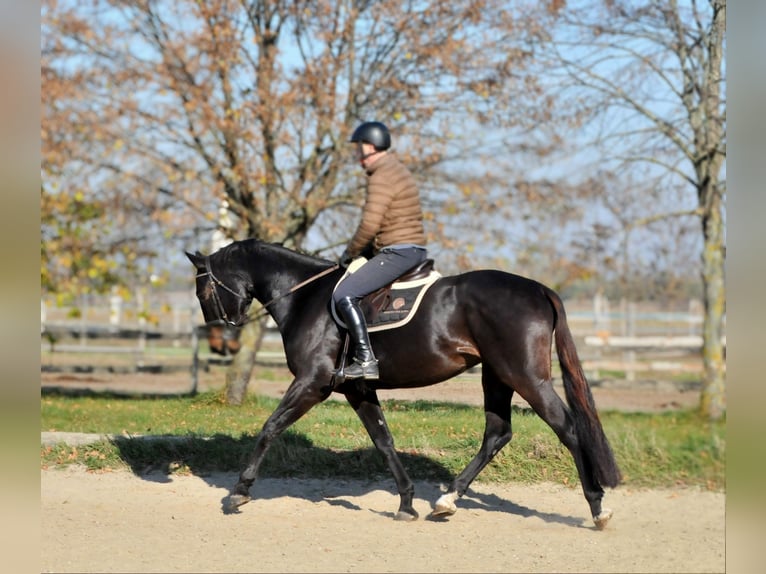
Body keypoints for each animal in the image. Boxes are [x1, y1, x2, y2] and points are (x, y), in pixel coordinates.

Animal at [186, 238, 624, 532]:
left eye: (202, 287)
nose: (220, 338)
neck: (305, 296)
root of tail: (538, 288)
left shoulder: (312, 382)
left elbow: (270, 427)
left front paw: (239, 491)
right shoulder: (357, 389)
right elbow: (383, 440)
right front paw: (407, 501)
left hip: (525, 375)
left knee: (567, 429)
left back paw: (598, 507)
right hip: (497, 375)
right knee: (497, 434)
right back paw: (446, 500)